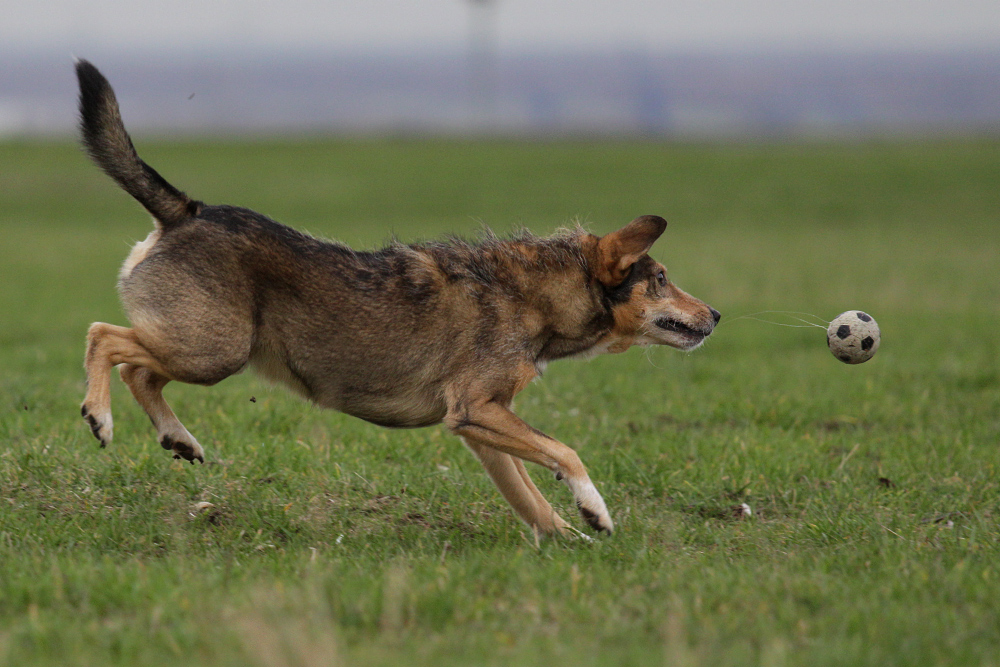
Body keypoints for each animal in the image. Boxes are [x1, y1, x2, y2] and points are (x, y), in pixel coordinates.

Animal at [76, 60, 720, 536]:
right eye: (661, 278)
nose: (715, 314)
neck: (535, 295)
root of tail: (187, 212)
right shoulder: (478, 409)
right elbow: (565, 453)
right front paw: (594, 509)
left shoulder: (480, 426)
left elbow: (529, 494)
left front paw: (566, 539)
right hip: (214, 350)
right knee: (105, 338)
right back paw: (100, 417)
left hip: (203, 348)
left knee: (139, 370)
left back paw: (177, 438)